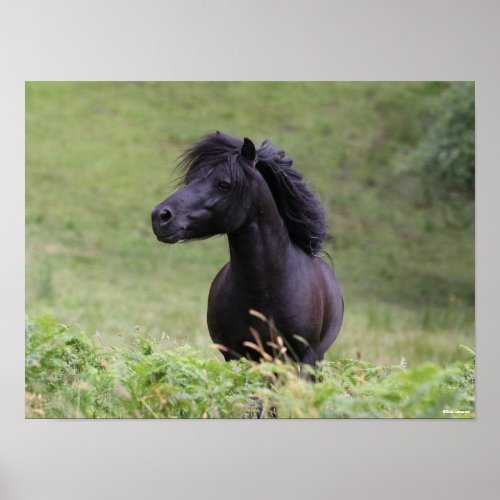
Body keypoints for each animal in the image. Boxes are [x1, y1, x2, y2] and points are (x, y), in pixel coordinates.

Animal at [150, 131, 342, 366]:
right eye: (190, 180)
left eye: (223, 184)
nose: (160, 216)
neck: (265, 290)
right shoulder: (235, 355)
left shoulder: (305, 357)